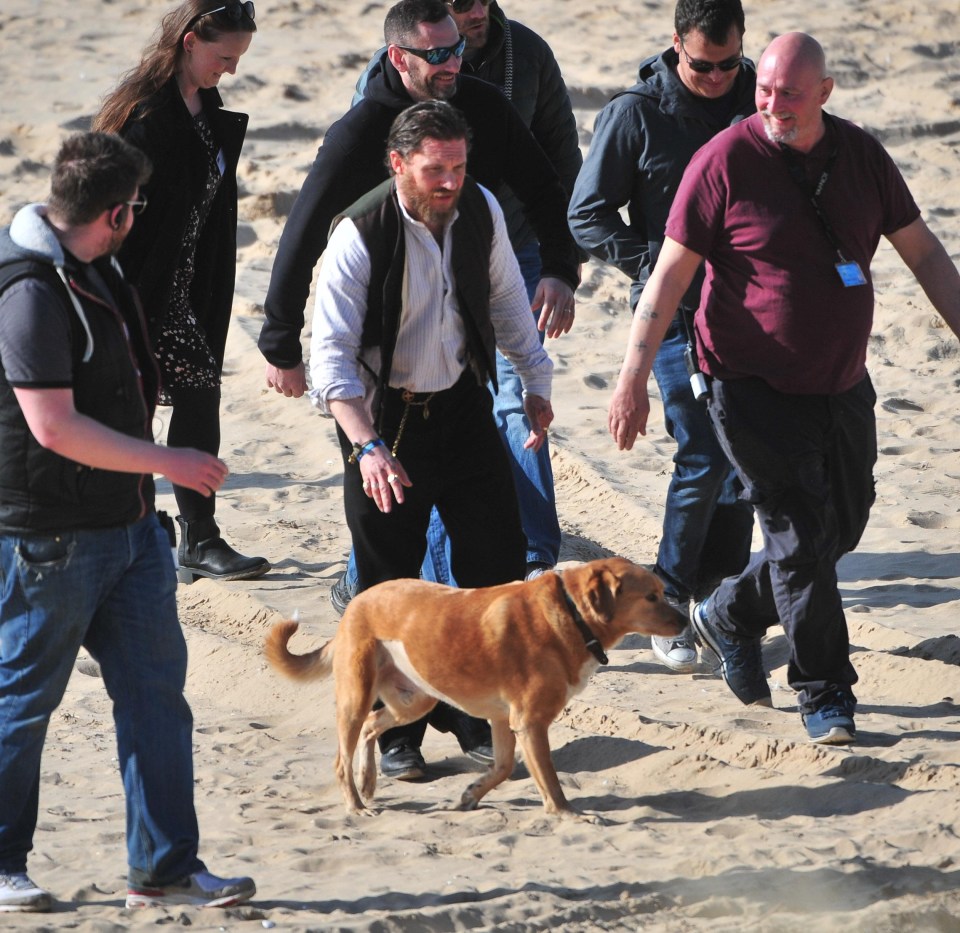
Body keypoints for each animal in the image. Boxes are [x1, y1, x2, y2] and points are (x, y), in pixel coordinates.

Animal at [264, 552, 684, 816]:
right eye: (651, 596)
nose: (684, 621)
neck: (572, 614)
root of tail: (358, 602)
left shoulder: (505, 721)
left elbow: (502, 768)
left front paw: (471, 795)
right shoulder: (530, 723)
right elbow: (549, 780)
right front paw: (567, 814)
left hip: (414, 700)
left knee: (371, 727)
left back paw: (367, 782)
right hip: (356, 695)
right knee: (342, 758)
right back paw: (355, 805)